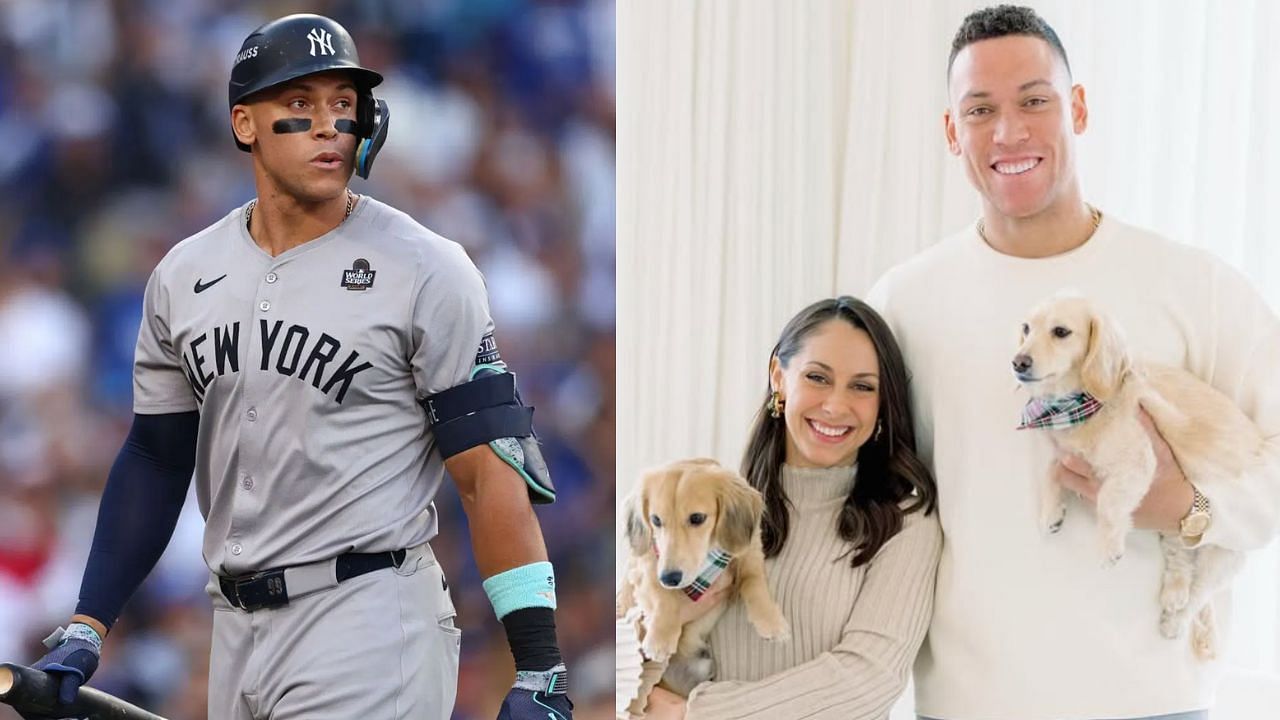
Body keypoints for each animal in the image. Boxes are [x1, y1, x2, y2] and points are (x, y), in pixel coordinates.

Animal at [614, 456, 783, 686]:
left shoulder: (751, 556)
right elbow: (662, 596)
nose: (670, 578)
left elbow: (754, 584)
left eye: (697, 518)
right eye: (656, 520)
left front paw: (771, 622)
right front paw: (660, 637)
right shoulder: (645, 566)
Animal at [1013, 292, 1254, 655]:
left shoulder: (1138, 460)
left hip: (1225, 554)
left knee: (1201, 593)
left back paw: (1175, 620)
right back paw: (1174, 591)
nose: (1018, 362)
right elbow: (1053, 469)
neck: (1082, 406)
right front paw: (1051, 512)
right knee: (1181, 556)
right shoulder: (1070, 456)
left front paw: (1108, 544)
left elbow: (1109, 502)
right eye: (1026, 328)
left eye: (1060, 331)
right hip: (1177, 528)